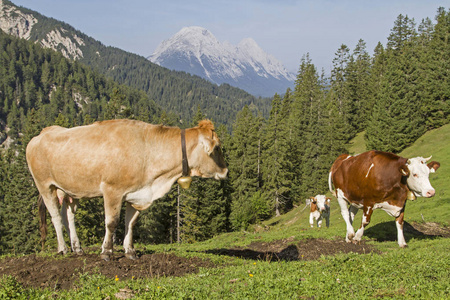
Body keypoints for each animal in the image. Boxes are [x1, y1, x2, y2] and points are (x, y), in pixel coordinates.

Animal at [26, 119, 227, 260]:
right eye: (217, 147)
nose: (225, 171)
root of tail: (42, 133)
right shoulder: (112, 190)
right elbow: (112, 222)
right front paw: (106, 252)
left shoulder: (136, 194)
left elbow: (130, 223)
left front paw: (130, 251)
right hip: (44, 185)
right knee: (56, 216)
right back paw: (63, 249)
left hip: (70, 190)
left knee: (68, 216)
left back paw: (77, 248)